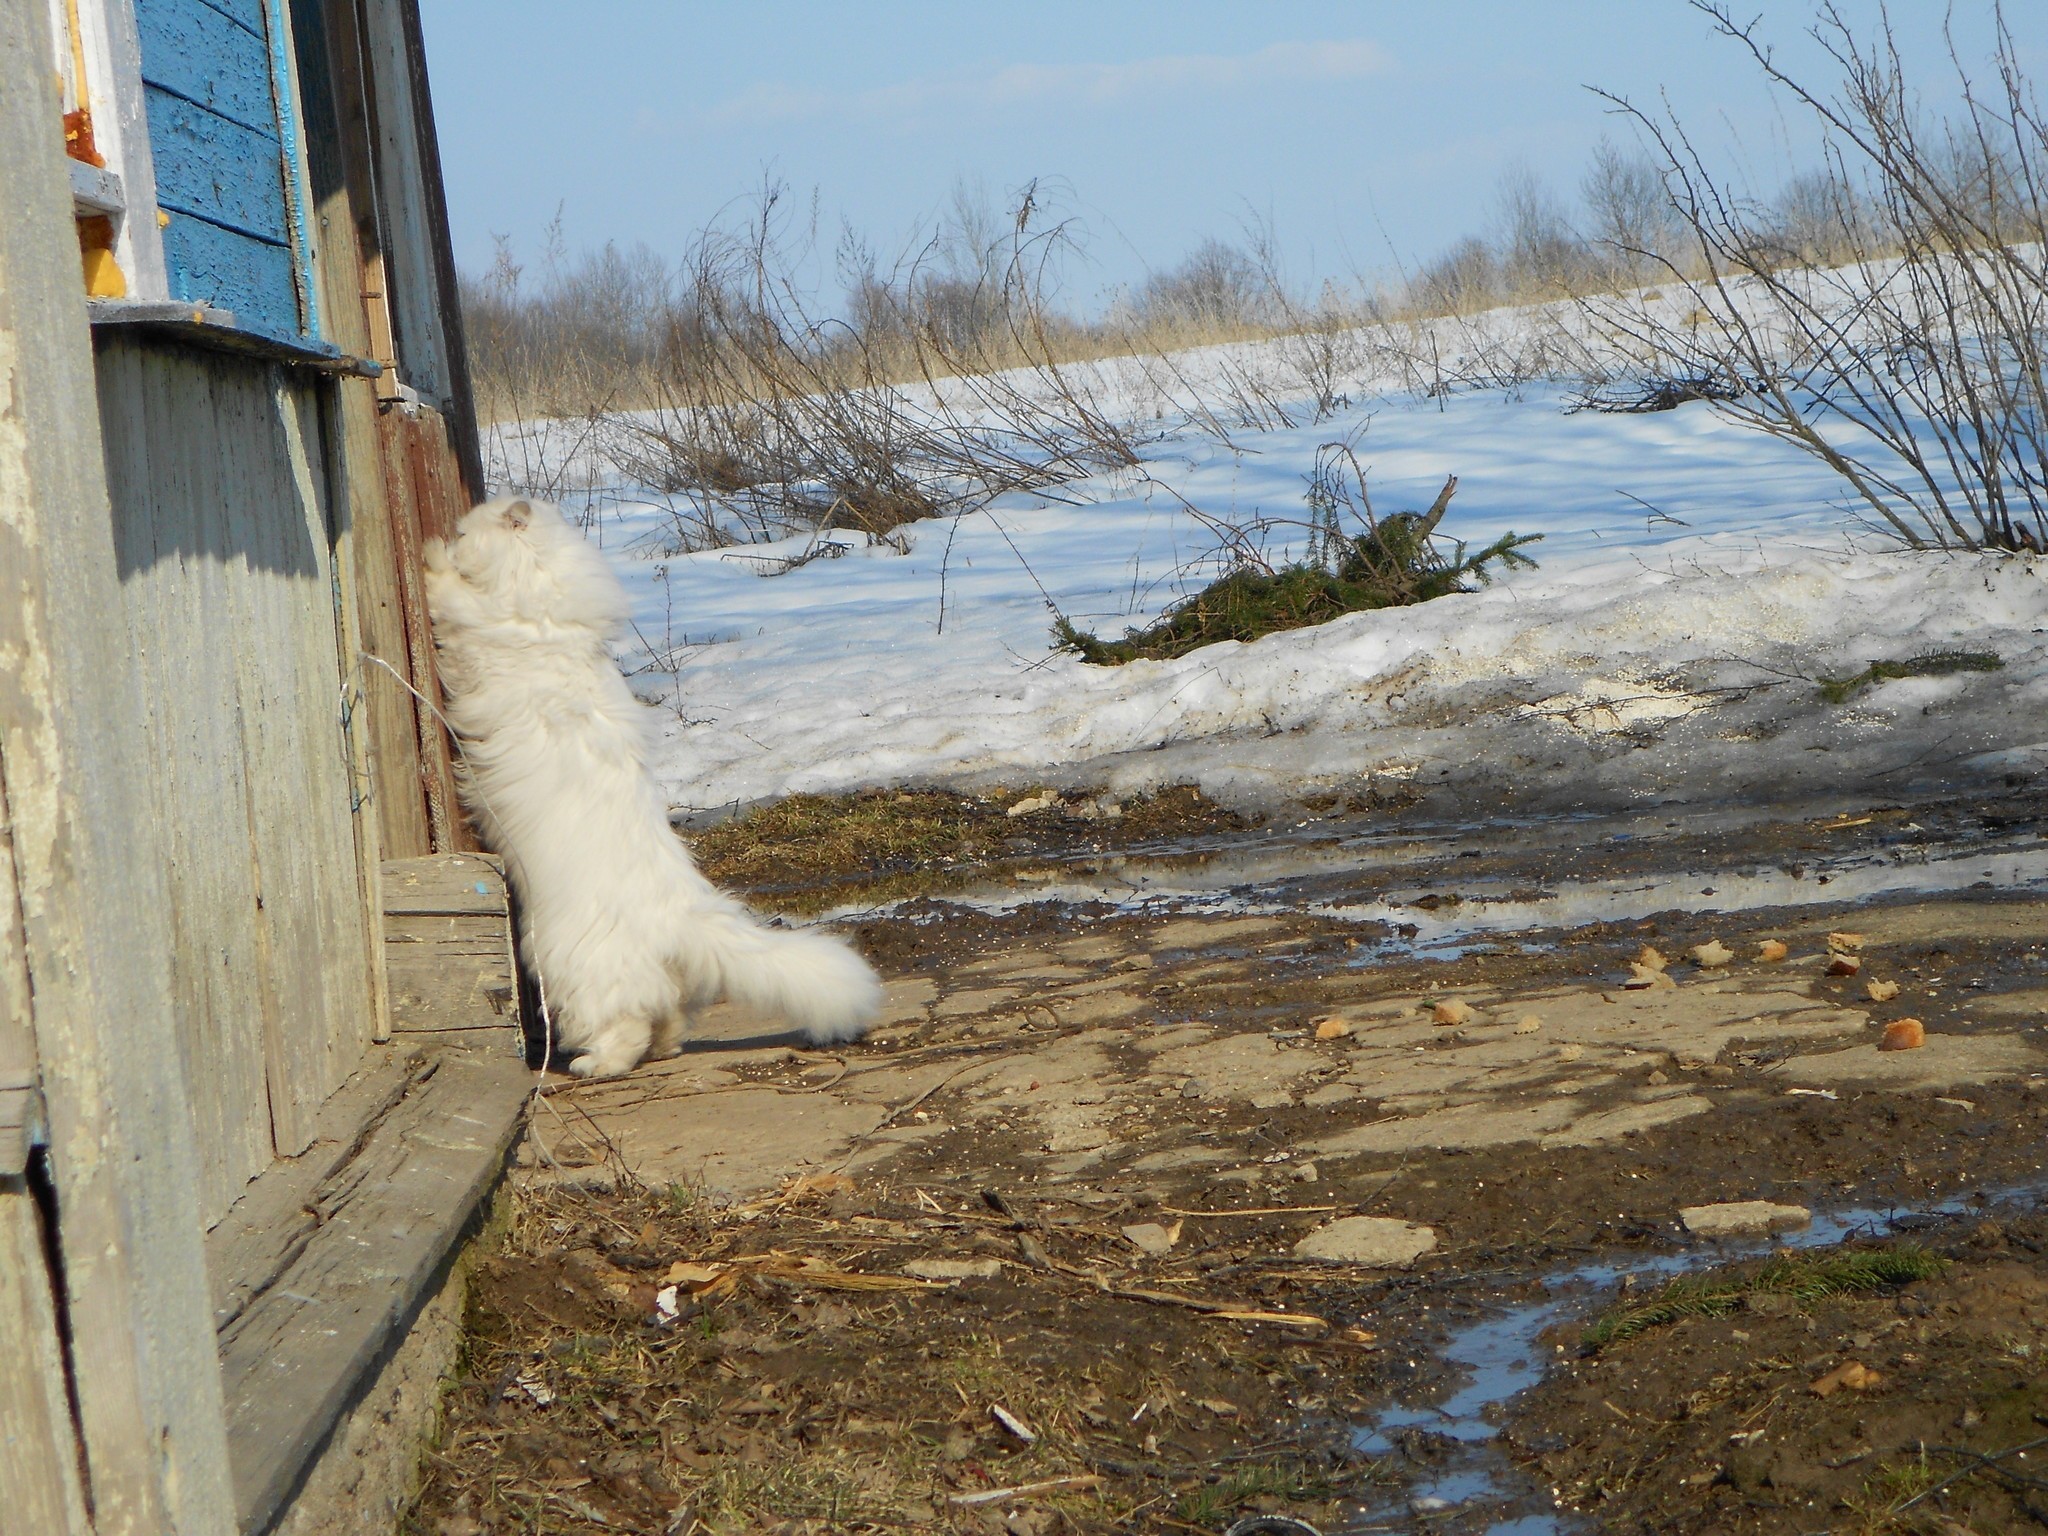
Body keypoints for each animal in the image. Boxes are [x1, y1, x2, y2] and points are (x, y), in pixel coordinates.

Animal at [423, 499, 880, 1073]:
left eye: (466, 532)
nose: (451, 535)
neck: (549, 601)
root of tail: (679, 914)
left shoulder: (483, 632)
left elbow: (453, 602)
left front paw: (430, 558)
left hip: (574, 967)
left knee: (626, 1025)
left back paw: (594, 1065)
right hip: (650, 983)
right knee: (670, 1017)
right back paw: (656, 1049)